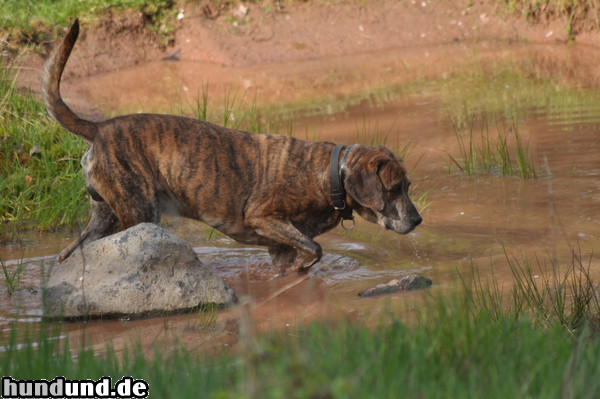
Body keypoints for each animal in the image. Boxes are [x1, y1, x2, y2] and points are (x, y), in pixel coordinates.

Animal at [42, 20, 422, 274]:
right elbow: (313, 248)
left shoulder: (279, 246)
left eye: (408, 186)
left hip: (104, 215)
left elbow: (299, 256)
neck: (330, 175)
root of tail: (99, 127)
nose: (418, 219)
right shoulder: (263, 217)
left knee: (69, 253)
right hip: (138, 212)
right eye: (393, 189)